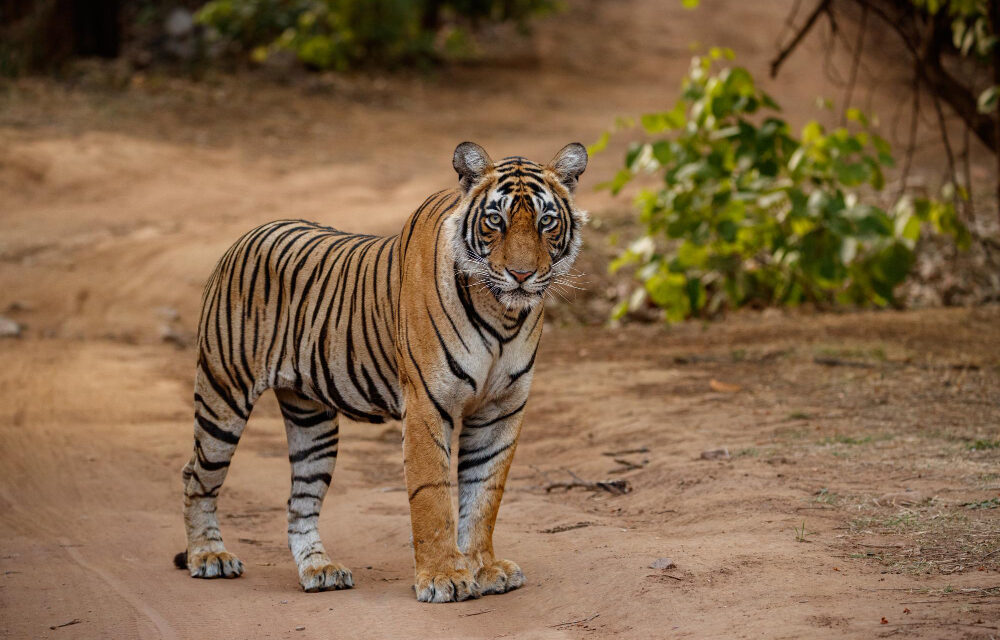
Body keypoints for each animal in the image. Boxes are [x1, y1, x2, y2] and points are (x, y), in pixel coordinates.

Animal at [177, 139, 588, 600]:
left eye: (546, 221)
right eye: (494, 221)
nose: (521, 274)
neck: (503, 316)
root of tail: (245, 236)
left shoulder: (501, 409)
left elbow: (484, 494)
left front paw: (483, 568)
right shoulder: (428, 404)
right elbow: (432, 494)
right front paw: (444, 577)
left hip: (312, 422)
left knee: (300, 502)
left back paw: (319, 569)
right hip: (222, 394)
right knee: (196, 477)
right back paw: (208, 556)